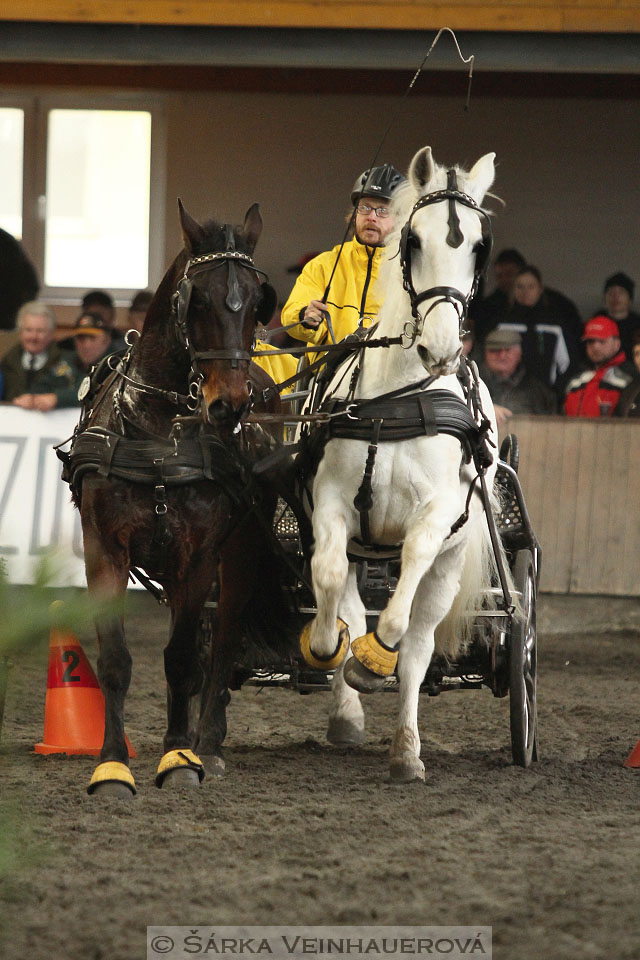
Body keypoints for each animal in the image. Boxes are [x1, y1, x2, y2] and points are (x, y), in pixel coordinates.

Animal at [65, 202, 288, 796]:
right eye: (199, 300)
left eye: (255, 301)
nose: (229, 405)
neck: (159, 429)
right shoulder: (105, 548)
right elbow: (117, 660)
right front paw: (112, 765)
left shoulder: (200, 554)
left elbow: (185, 659)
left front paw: (179, 758)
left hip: (239, 554)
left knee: (223, 639)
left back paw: (205, 743)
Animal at [298, 146, 508, 784]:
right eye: (412, 239)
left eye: (479, 247)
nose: (441, 348)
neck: (400, 398)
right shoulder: (333, 506)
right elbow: (328, 577)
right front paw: (327, 647)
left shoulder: (437, 516)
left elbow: (404, 597)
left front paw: (372, 662)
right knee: (349, 599)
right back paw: (346, 709)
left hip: (453, 561)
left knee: (416, 646)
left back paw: (406, 750)